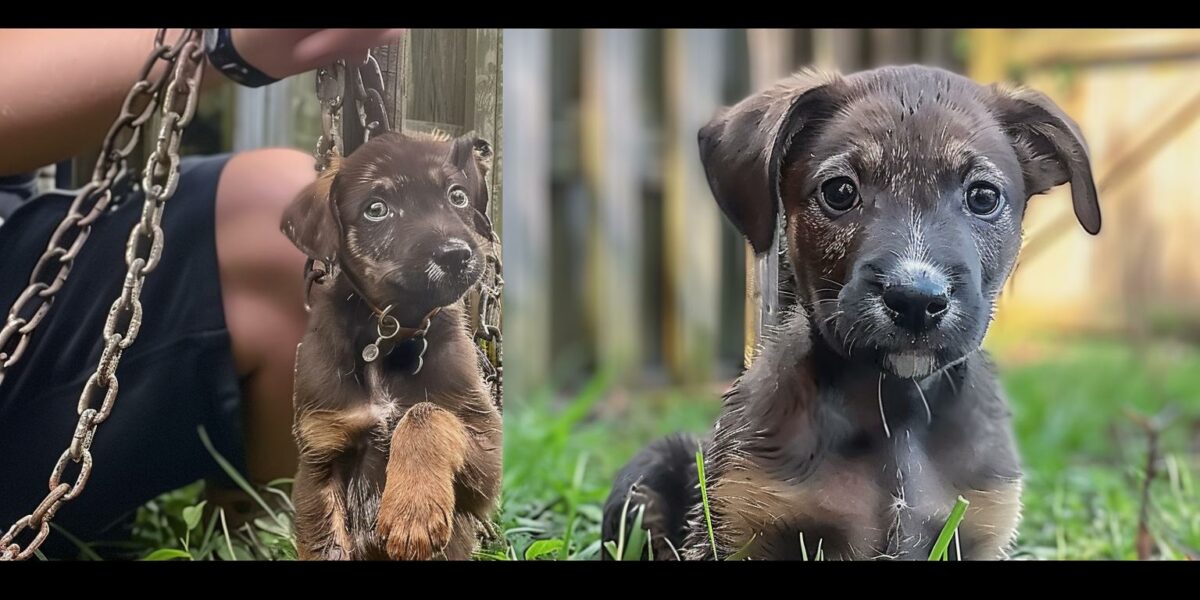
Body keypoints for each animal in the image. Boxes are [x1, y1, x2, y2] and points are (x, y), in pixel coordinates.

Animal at [282, 130, 501, 556]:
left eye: (457, 196)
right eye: (376, 209)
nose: (456, 255)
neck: (389, 335)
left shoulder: (487, 446)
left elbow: (425, 414)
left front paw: (412, 514)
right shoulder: (320, 451)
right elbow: (327, 542)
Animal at [604, 66, 1099, 561]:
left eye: (982, 197)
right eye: (839, 191)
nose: (916, 300)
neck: (894, 409)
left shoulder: (979, 526)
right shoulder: (740, 524)